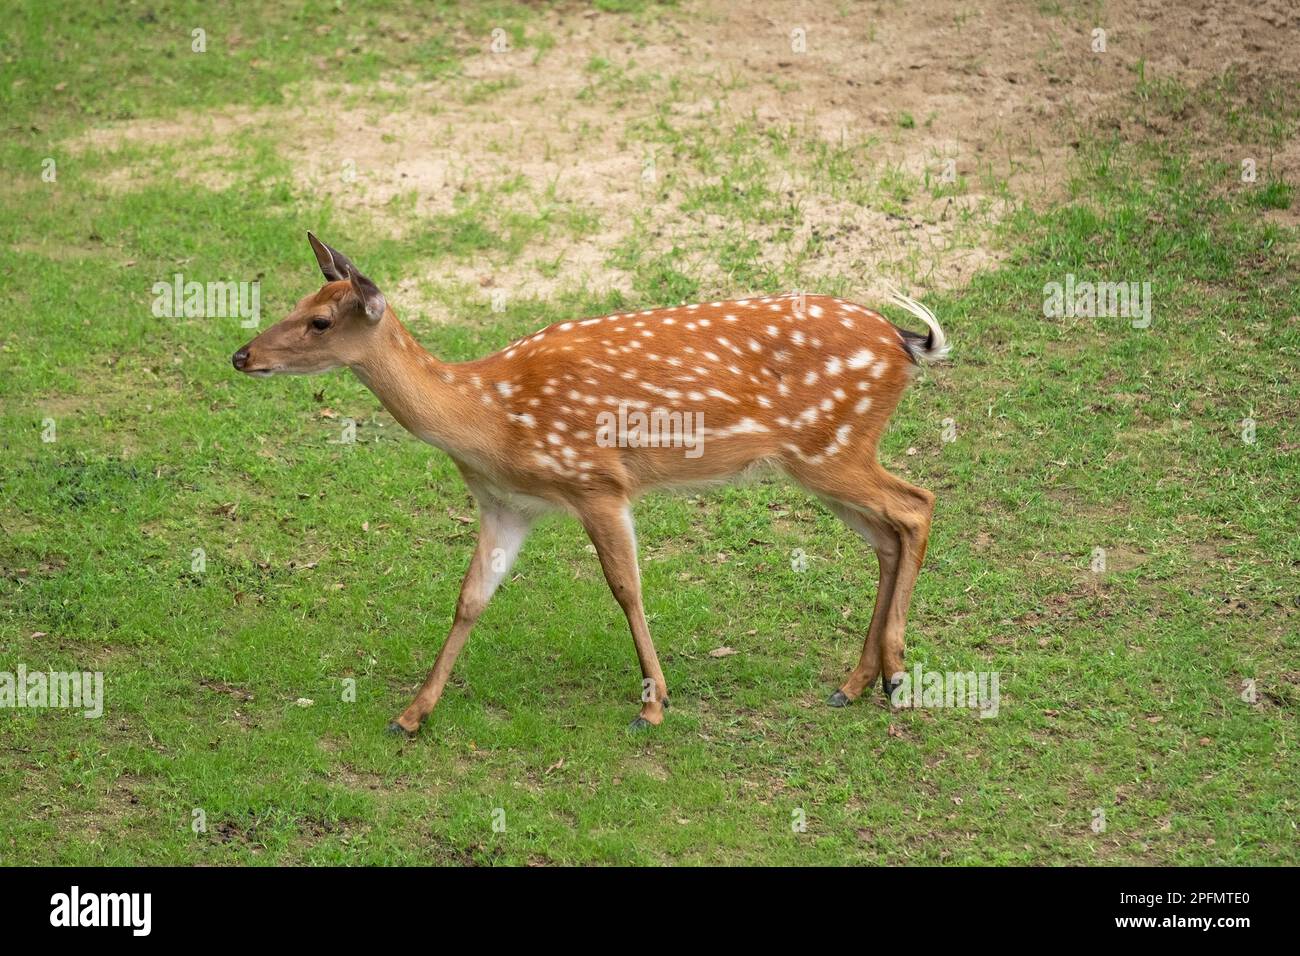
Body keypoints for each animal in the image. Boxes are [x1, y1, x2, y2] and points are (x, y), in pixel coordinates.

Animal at [232, 233, 949, 735]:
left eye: (321, 322)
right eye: (299, 303)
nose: (242, 355)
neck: (491, 422)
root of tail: (905, 342)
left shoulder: (597, 480)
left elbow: (626, 588)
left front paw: (653, 705)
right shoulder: (505, 505)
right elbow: (470, 599)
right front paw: (411, 715)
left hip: (833, 447)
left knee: (917, 504)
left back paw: (893, 678)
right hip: (821, 457)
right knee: (887, 535)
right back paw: (856, 682)